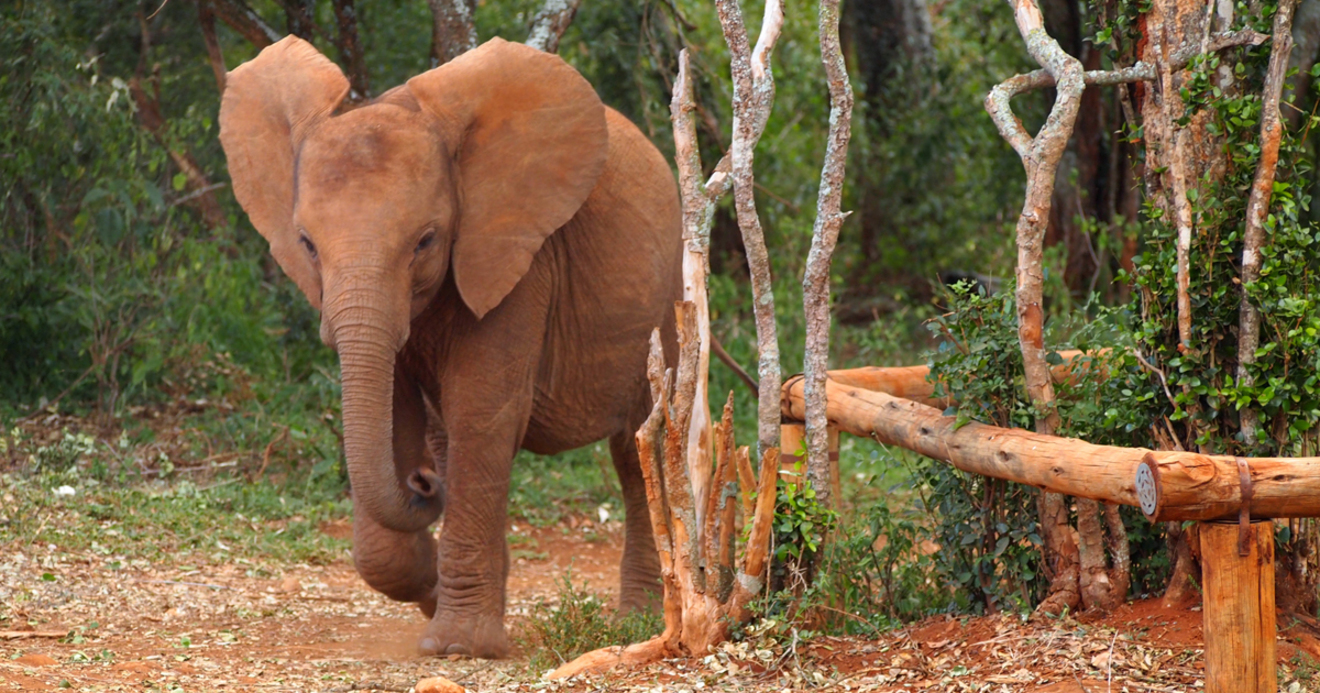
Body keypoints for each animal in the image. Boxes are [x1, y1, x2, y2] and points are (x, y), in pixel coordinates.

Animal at [219, 36, 681, 654]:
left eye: (426, 240)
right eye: (307, 244)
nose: (421, 483)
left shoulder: (516, 257)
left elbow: (481, 413)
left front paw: (460, 646)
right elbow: (397, 419)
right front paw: (433, 594)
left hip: (670, 289)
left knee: (636, 447)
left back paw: (637, 621)